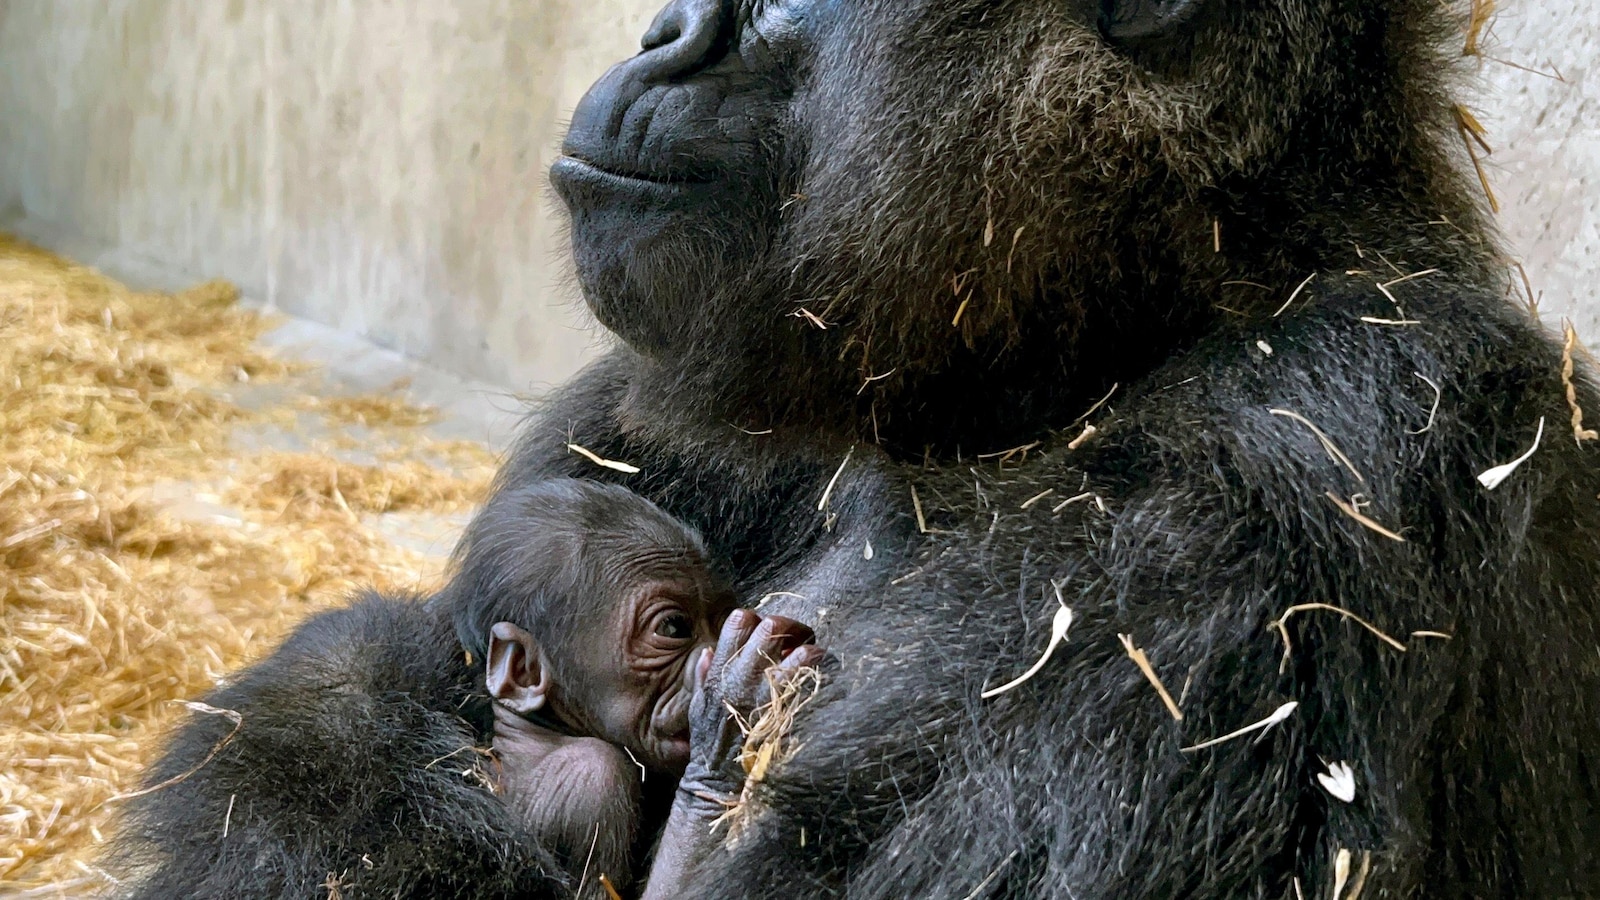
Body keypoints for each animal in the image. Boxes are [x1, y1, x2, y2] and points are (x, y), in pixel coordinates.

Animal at [451, 477, 825, 890]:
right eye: (674, 628)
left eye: (721, 618)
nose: (713, 656)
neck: (540, 732)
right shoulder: (593, 780)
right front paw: (731, 712)